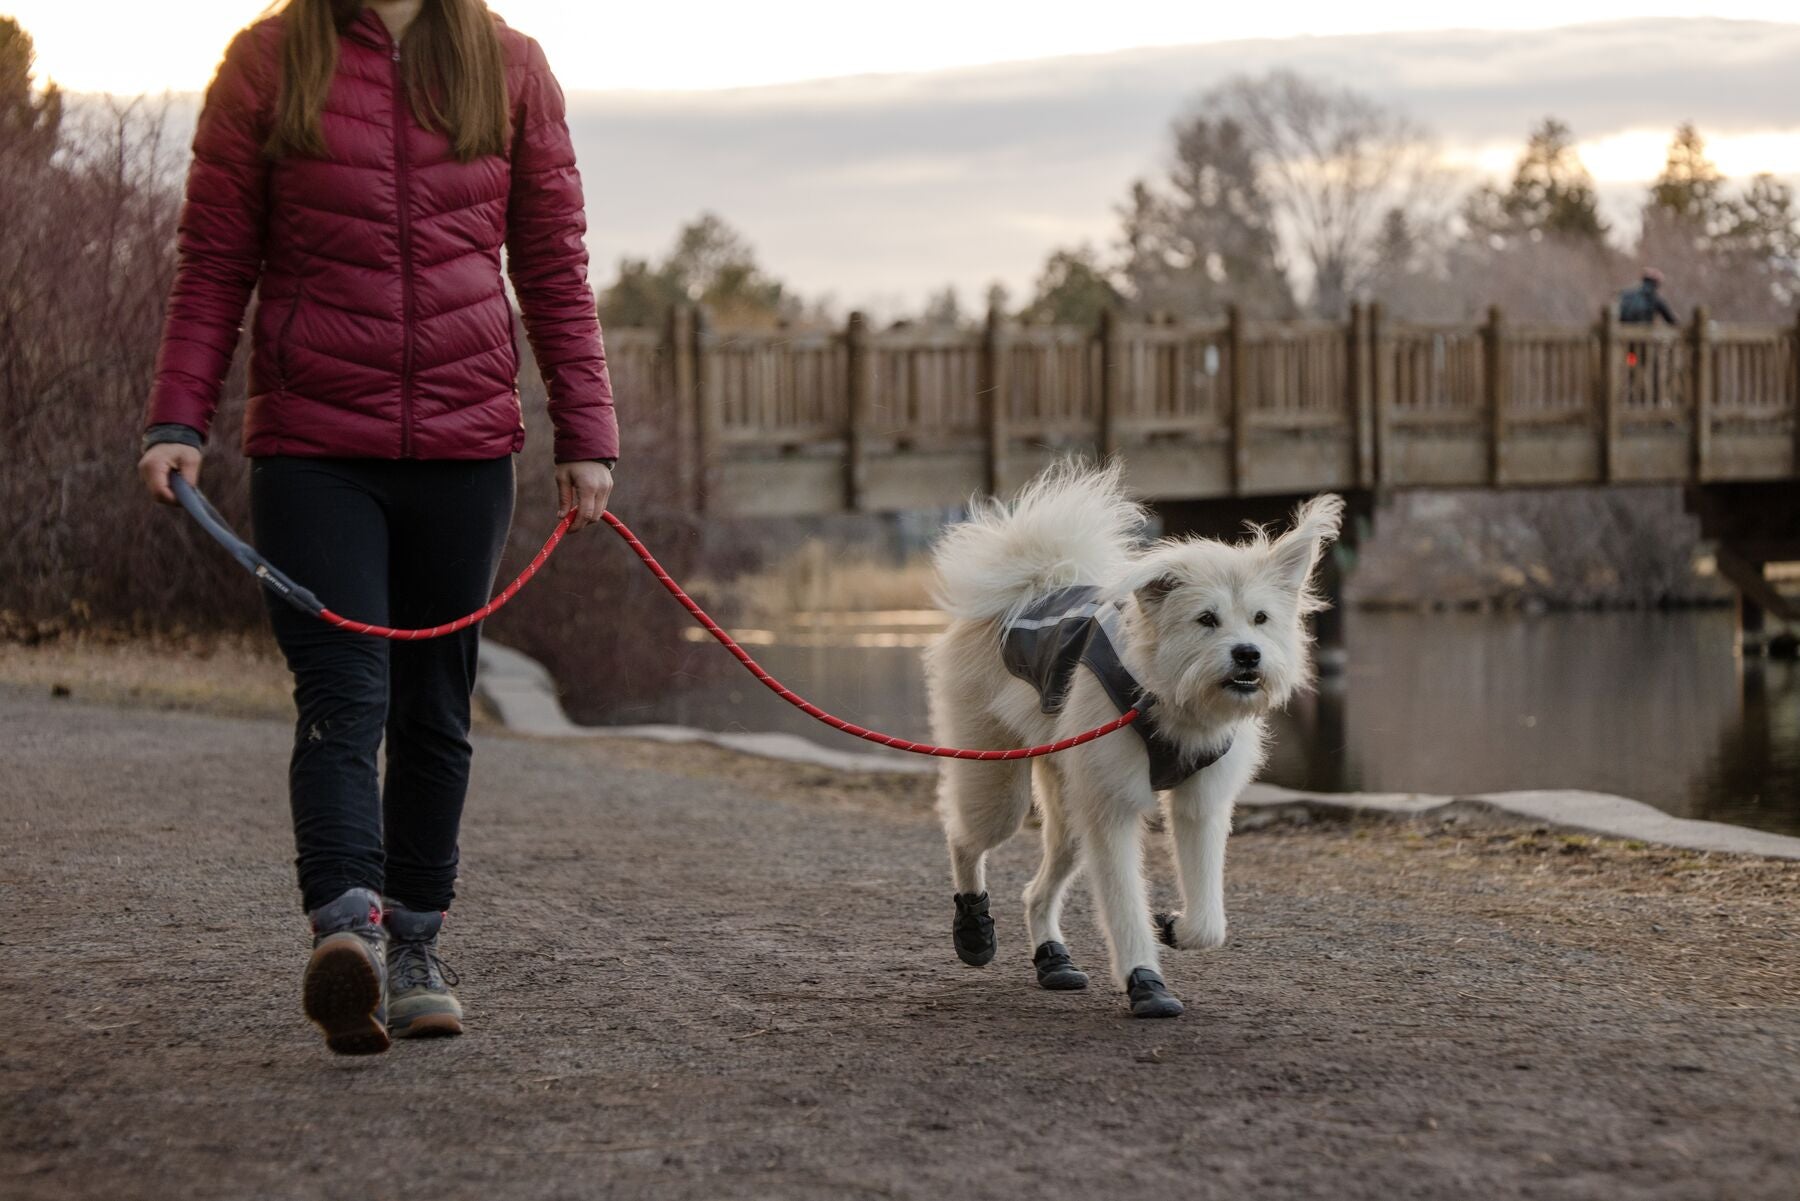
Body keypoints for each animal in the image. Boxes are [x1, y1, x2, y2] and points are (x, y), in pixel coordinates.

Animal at [928, 460, 1339, 1015]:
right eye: (1206, 619)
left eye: (1261, 618)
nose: (1248, 655)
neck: (1166, 696)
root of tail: (1030, 585)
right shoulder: (1113, 809)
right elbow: (1124, 906)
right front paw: (1146, 982)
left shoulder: (1200, 806)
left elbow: (1210, 920)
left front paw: (1176, 929)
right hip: (1000, 786)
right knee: (963, 837)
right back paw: (974, 930)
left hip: (1070, 806)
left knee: (1036, 891)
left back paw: (1053, 960)